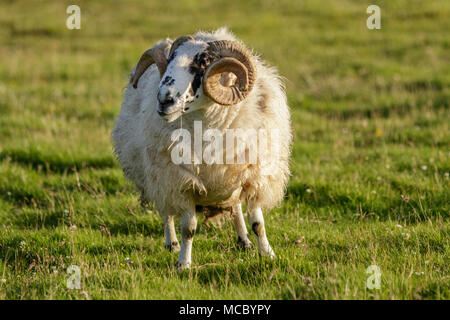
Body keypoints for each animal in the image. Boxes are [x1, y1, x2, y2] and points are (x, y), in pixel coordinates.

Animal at [111, 27, 292, 268]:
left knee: (235, 207)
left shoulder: (252, 176)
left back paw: (244, 241)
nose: (164, 100)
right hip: (158, 178)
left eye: (202, 64)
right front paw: (183, 263)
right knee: (166, 212)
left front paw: (268, 253)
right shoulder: (180, 182)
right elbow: (188, 228)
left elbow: (258, 223)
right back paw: (171, 243)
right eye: (170, 59)